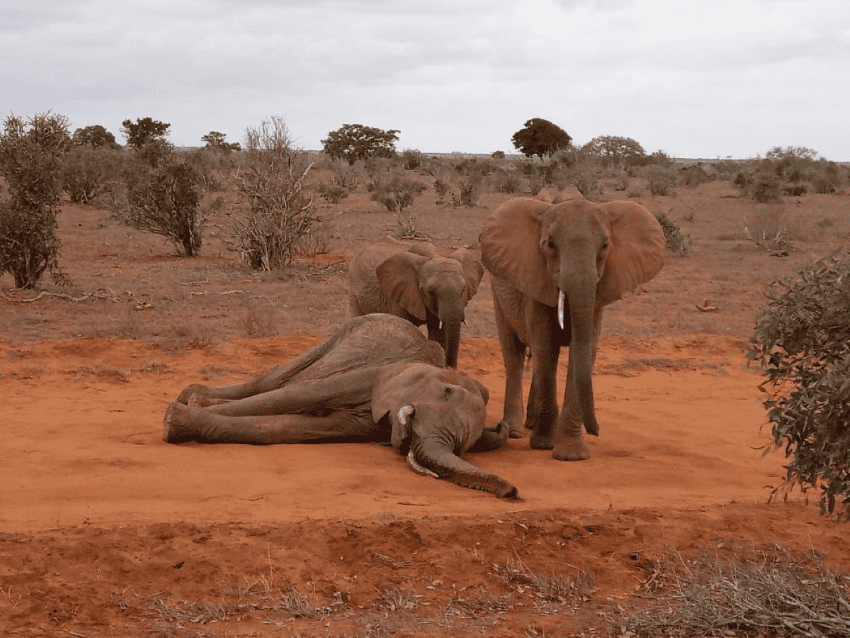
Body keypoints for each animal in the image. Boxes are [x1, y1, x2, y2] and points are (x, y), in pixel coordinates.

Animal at [161, 316, 512, 500]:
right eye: (446, 392)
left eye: (464, 447)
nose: (511, 493)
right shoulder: (379, 373)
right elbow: (301, 395)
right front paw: (172, 421)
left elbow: (297, 427)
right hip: (340, 336)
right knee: (277, 380)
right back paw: (193, 396)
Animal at [346, 239, 484, 370]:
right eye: (430, 291)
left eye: (463, 289)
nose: (450, 368)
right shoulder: (398, 296)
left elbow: (437, 334)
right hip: (353, 290)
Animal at [476, 198, 664, 462]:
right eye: (550, 245)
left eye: (605, 246)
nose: (596, 431)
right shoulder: (536, 281)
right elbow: (545, 347)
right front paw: (544, 445)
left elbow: (582, 349)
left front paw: (572, 455)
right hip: (498, 290)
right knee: (513, 353)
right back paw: (514, 431)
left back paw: (531, 424)